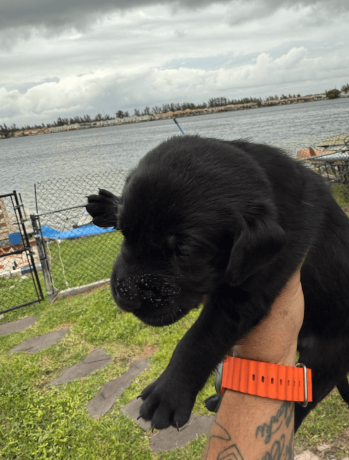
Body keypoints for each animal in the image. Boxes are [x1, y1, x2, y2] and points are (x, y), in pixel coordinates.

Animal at [86, 136, 348, 432]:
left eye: (185, 251)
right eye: (124, 232)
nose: (127, 299)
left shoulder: (244, 295)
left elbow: (197, 340)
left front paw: (168, 392)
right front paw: (109, 204)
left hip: (324, 363)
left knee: (300, 409)